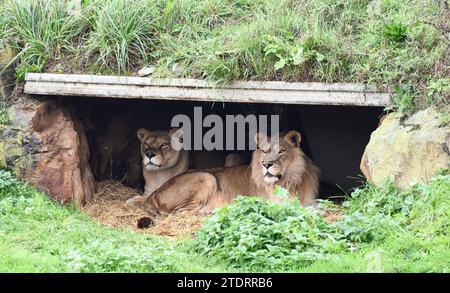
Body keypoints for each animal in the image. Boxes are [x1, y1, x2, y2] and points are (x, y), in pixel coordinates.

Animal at [138, 129, 320, 227]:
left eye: (281, 151)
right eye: (264, 151)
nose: (266, 164)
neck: (290, 180)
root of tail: (154, 193)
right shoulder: (274, 205)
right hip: (207, 177)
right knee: (181, 213)